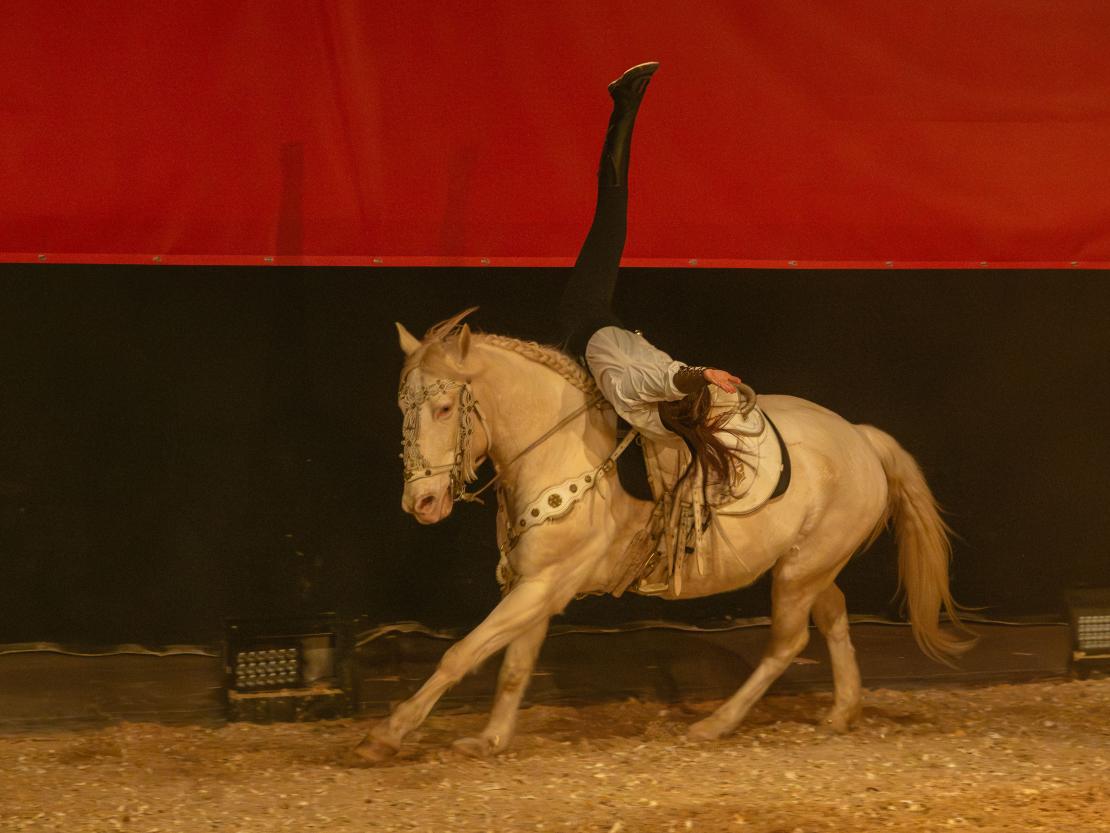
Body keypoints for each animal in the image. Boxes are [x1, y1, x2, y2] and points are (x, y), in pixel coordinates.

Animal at [354, 308, 974, 763]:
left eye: (442, 406)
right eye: (402, 407)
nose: (421, 503)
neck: (561, 447)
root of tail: (861, 438)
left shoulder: (546, 583)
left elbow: (462, 653)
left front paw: (388, 733)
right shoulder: (535, 584)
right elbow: (513, 664)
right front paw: (491, 739)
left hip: (801, 572)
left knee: (787, 643)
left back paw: (715, 724)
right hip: (809, 564)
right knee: (836, 616)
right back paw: (842, 711)